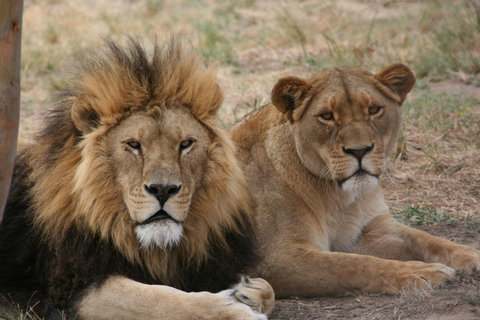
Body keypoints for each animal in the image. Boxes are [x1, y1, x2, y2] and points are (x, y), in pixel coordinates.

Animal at [0, 39, 274, 320]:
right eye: (133, 145)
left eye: (185, 144)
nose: (163, 189)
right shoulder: (72, 288)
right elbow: (162, 299)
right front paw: (236, 311)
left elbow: (268, 287)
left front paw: (249, 290)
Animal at [229, 63, 480, 298]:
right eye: (326, 116)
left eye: (374, 110)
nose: (359, 150)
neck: (337, 197)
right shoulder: (273, 258)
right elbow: (352, 265)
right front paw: (418, 272)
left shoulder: (368, 230)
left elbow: (425, 238)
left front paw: (469, 254)